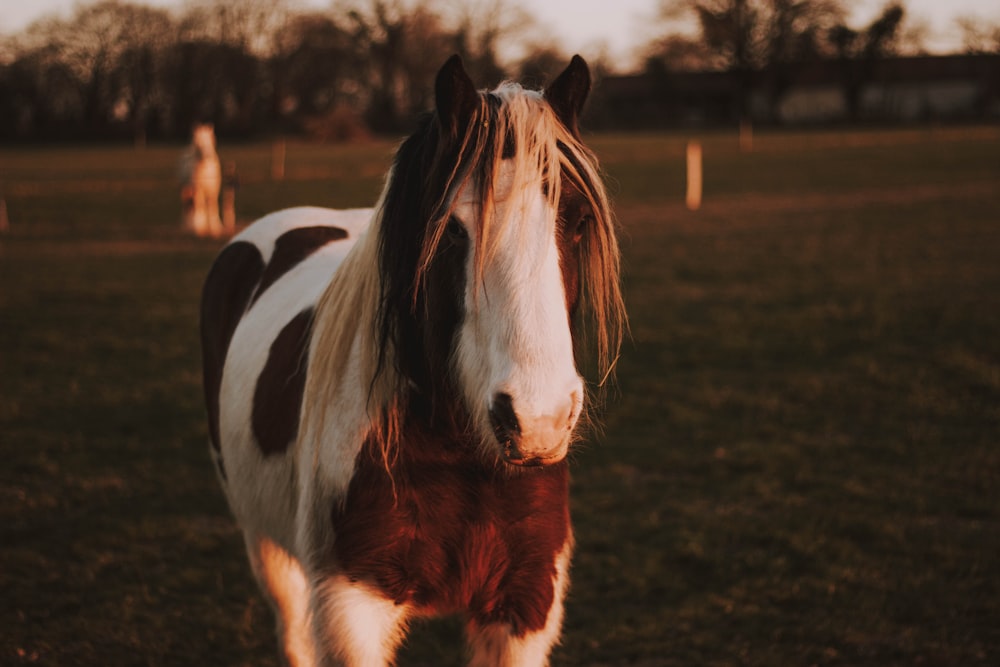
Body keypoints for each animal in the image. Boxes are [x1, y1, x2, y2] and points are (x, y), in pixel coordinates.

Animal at [200, 54, 624, 664]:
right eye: (452, 231)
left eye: (579, 220)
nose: (536, 420)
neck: (458, 455)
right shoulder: (350, 607)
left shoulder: (525, 603)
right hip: (267, 546)